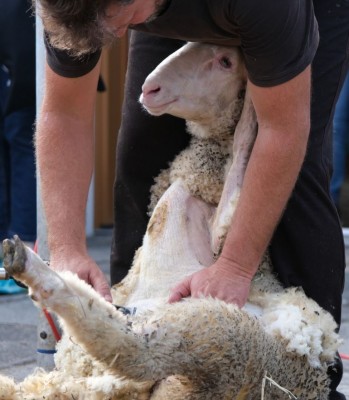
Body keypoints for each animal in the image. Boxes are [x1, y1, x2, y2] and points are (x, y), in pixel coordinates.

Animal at [0, 42, 342, 398]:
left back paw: (31, 269)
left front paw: (251, 107)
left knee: (137, 351)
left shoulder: (221, 237)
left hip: (221, 335)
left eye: (226, 61)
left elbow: (238, 162)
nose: (150, 87)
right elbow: (237, 162)